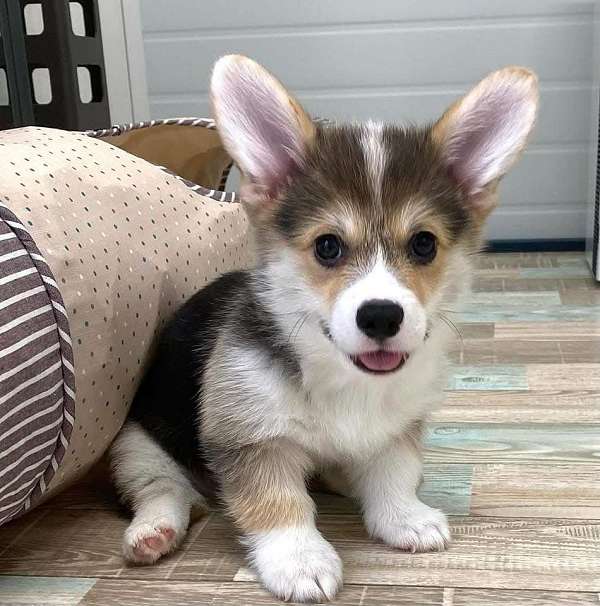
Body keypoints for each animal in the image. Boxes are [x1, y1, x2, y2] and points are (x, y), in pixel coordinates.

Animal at [111, 55, 540, 604]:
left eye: (423, 244)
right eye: (328, 247)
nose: (381, 315)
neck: (343, 376)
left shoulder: (396, 427)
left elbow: (396, 473)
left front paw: (403, 517)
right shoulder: (250, 438)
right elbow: (277, 502)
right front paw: (299, 560)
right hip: (135, 445)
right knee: (163, 488)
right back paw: (154, 531)